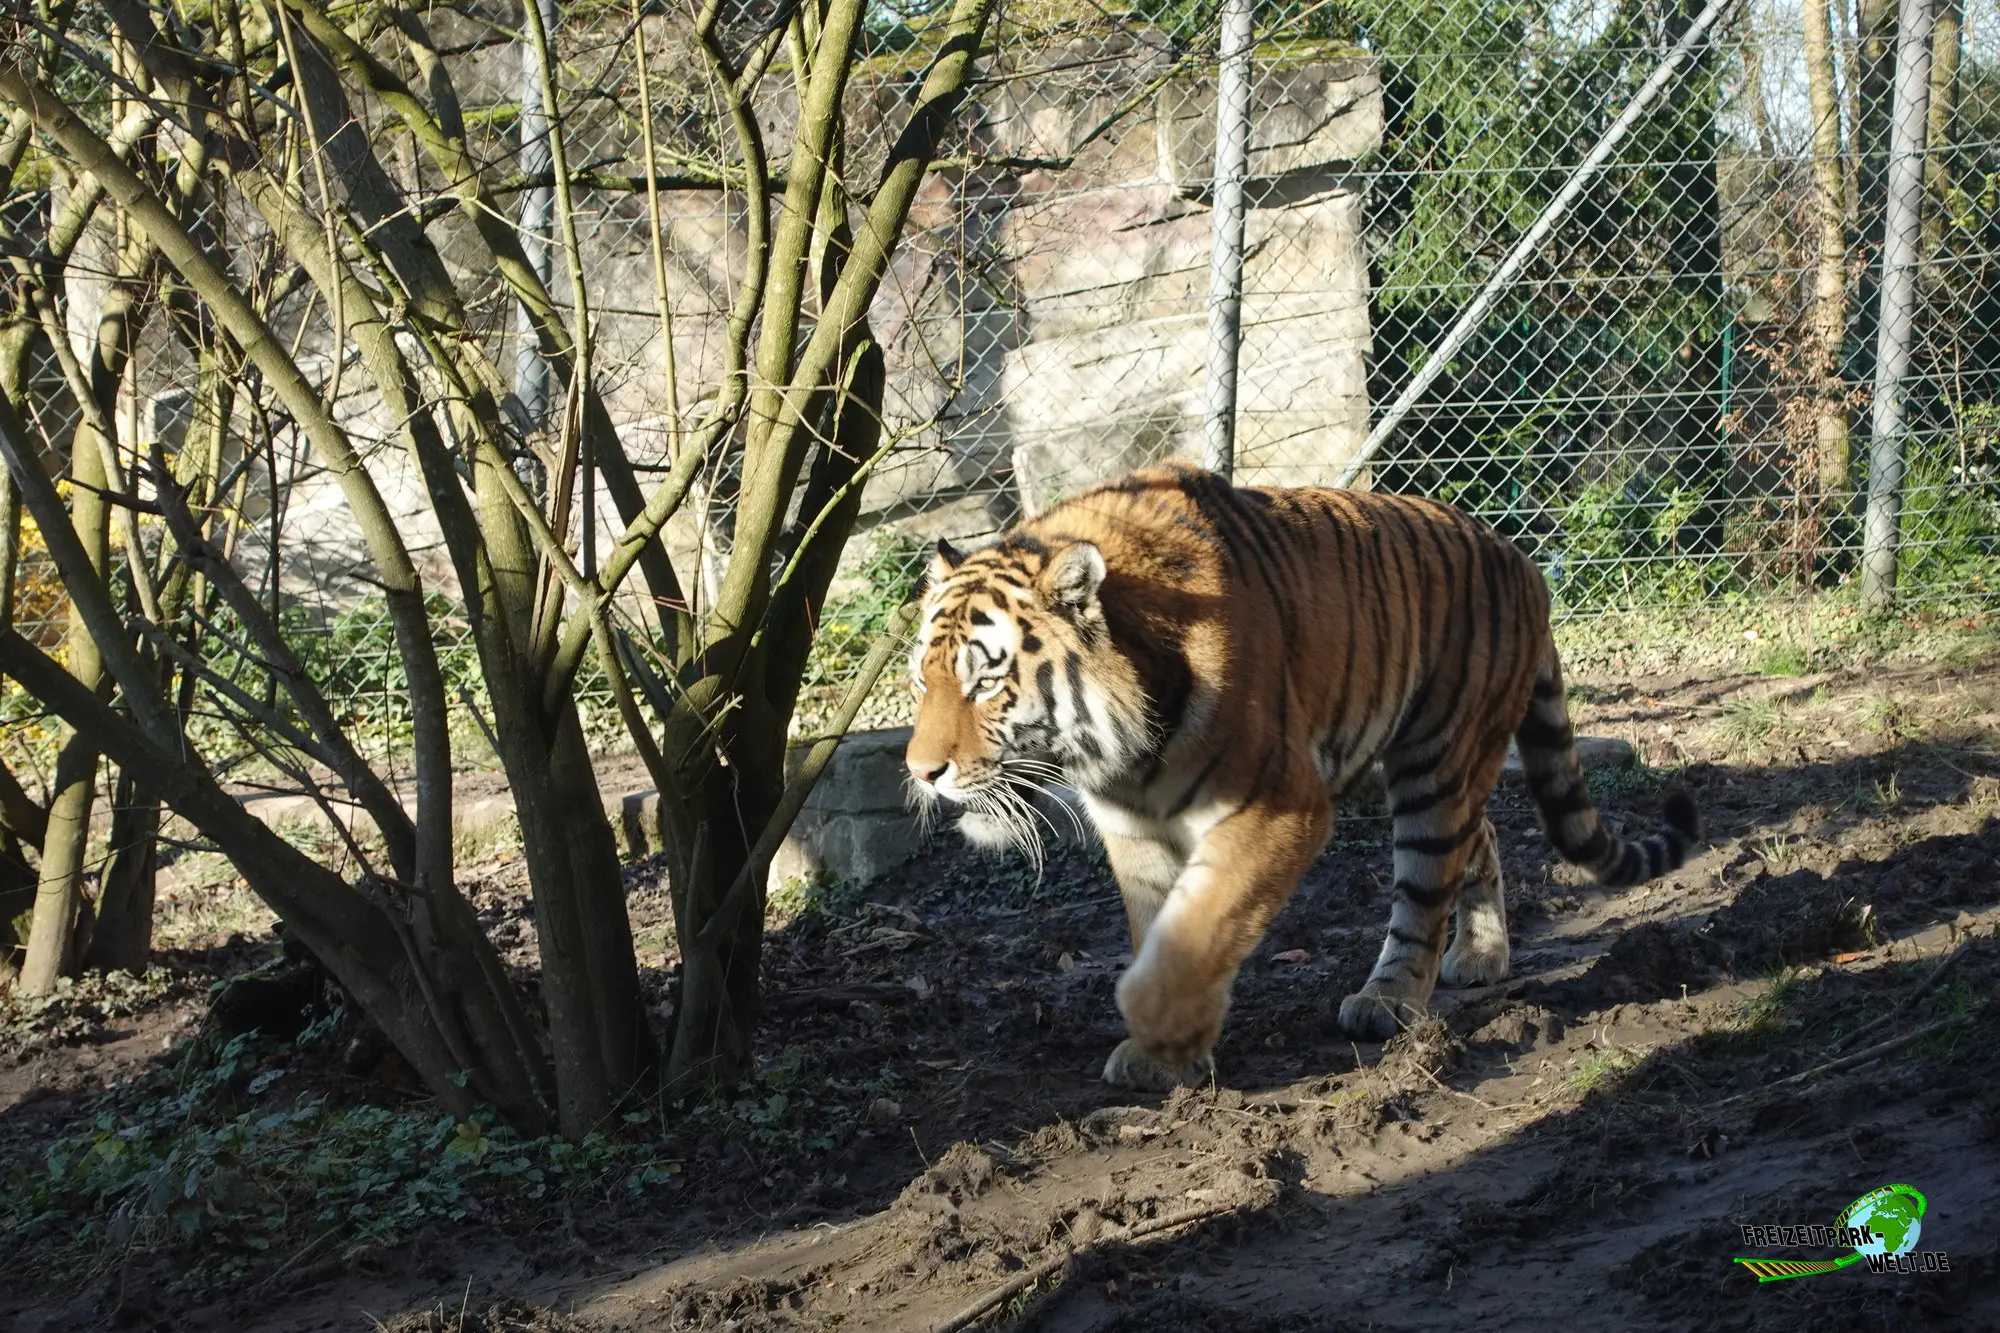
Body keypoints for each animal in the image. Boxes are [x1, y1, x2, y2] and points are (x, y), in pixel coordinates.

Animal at [904, 462, 1700, 1091]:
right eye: (923, 677)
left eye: (985, 682)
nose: (921, 771)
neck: (1120, 752)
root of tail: (1523, 558)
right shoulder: (1134, 833)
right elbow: (1161, 929)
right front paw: (1168, 1058)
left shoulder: (1277, 806)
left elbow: (1201, 926)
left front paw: (1158, 1029)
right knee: (1483, 837)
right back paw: (1481, 955)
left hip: (1437, 759)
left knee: (1427, 886)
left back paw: (1388, 1000)